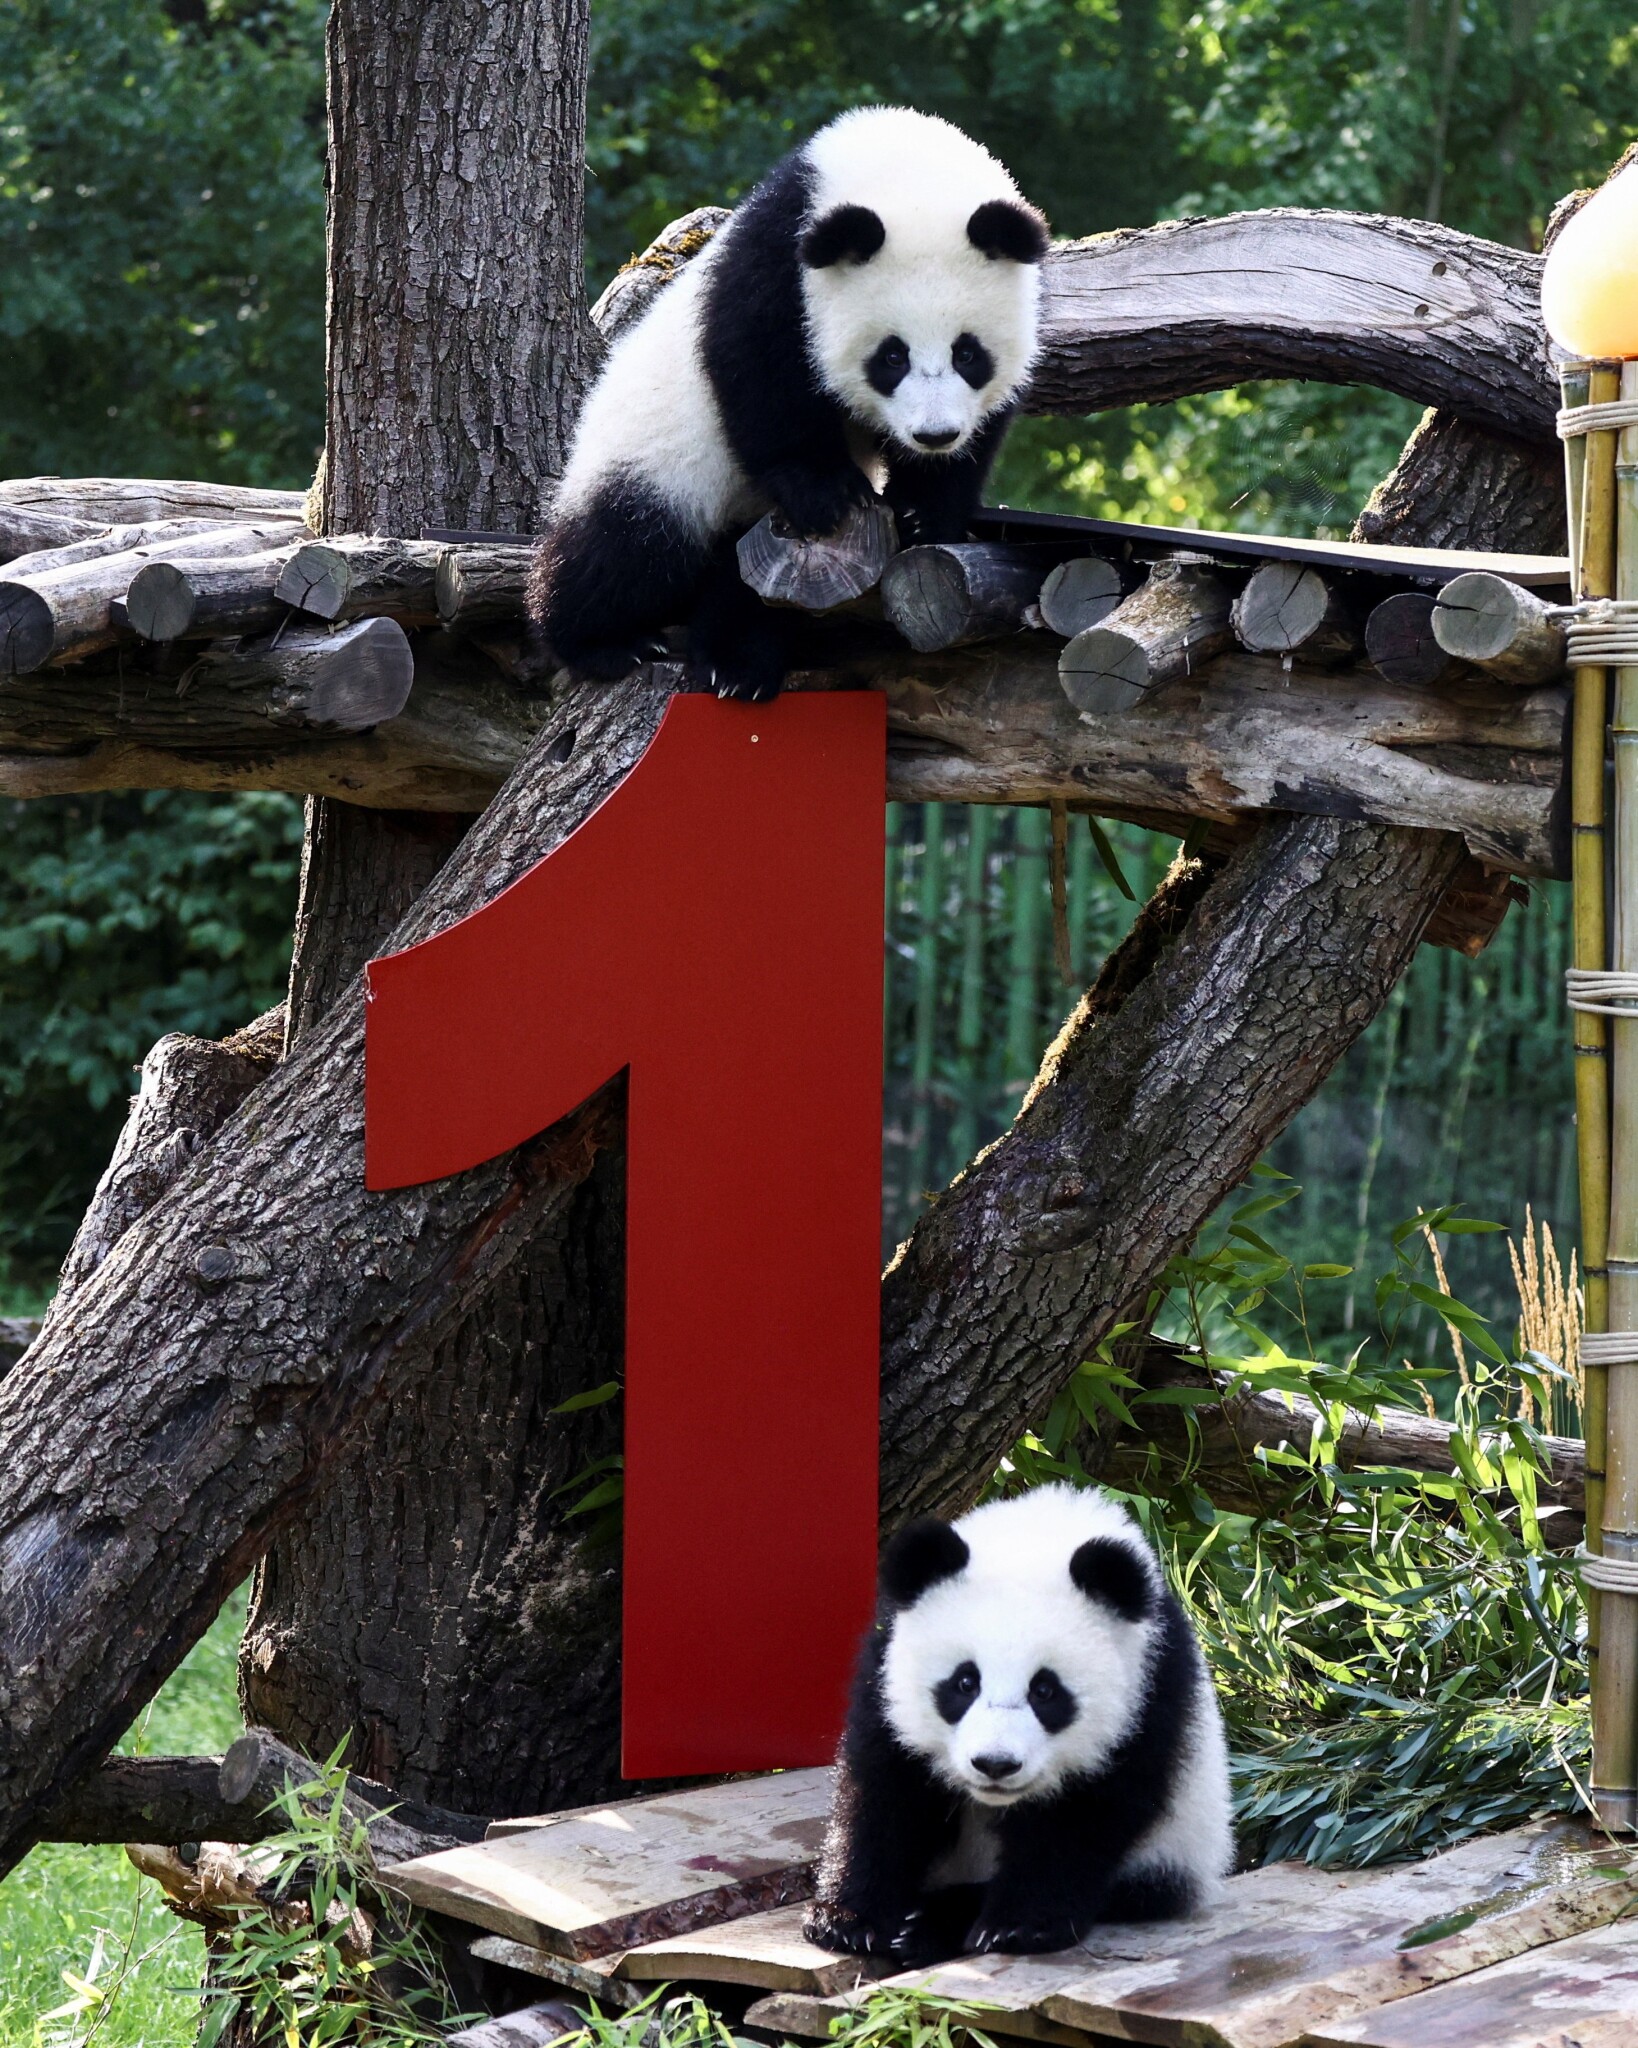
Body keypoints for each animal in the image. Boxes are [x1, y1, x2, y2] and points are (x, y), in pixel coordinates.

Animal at [528, 106, 1049, 702]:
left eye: (968, 354)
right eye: (891, 357)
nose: (934, 434)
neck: (904, 167)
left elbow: (980, 434)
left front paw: (924, 511)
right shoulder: (780, 256)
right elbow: (760, 366)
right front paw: (828, 493)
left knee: (743, 586)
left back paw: (736, 663)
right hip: (657, 459)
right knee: (626, 547)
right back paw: (606, 643)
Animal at [805, 1484, 1233, 1964]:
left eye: (1045, 1691)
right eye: (965, 1682)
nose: (995, 1764)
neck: (1041, 1536)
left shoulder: (1150, 1694)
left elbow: (1082, 1819)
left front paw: (1017, 1926)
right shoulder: (883, 1672)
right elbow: (884, 1793)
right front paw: (847, 1920)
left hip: (1177, 1848)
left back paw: (933, 1922)